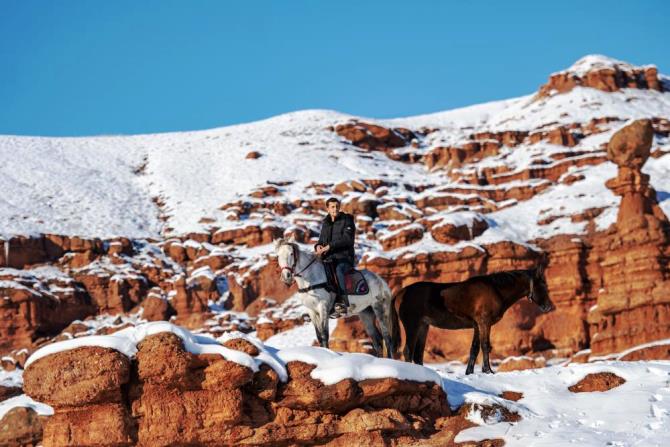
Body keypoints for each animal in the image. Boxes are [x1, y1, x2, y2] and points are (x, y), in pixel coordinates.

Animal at [394, 266, 556, 374]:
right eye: (543, 285)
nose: (548, 306)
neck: (495, 290)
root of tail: (401, 293)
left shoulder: (477, 325)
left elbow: (474, 348)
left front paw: (470, 372)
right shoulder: (484, 322)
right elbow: (485, 345)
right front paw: (488, 370)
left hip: (423, 326)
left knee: (418, 354)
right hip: (412, 325)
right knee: (408, 351)